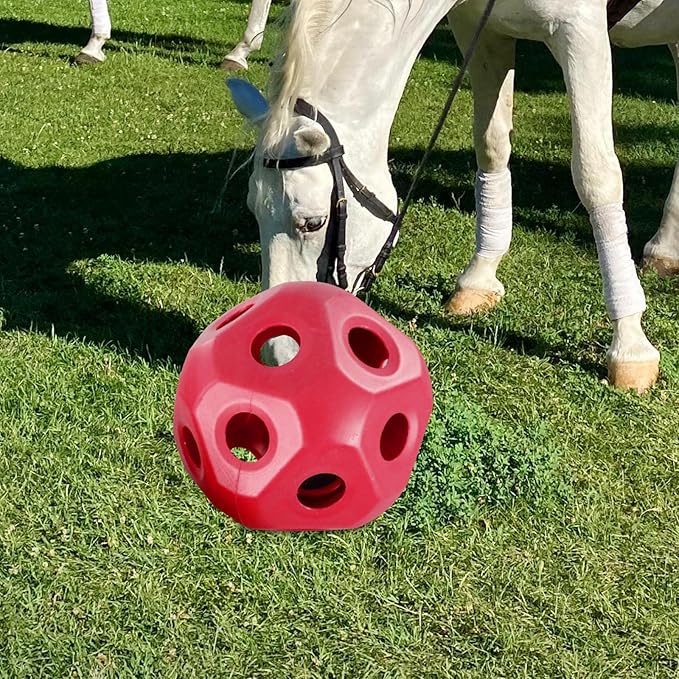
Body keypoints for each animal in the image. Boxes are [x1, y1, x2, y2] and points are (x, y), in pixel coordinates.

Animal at [227, 0, 678, 393]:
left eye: (313, 223)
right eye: (253, 213)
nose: (275, 352)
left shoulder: (580, 32)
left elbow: (596, 175)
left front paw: (630, 344)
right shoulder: (482, 30)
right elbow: (491, 144)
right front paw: (479, 276)